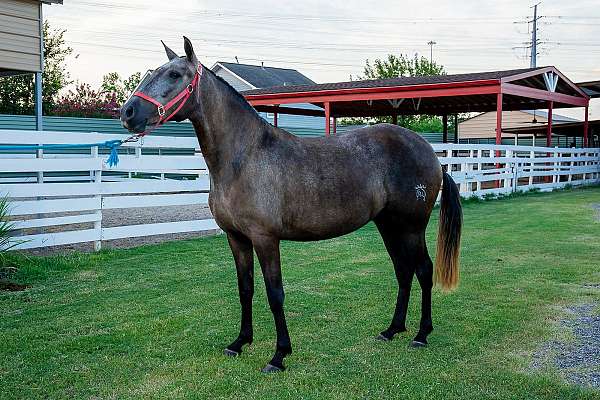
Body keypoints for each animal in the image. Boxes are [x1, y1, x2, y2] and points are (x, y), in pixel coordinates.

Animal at [119, 36, 462, 372]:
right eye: (153, 71)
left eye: (174, 74)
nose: (128, 113)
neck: (244, 157)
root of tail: (431, 153)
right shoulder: (236, 238)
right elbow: (245, 290)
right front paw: (239, 343)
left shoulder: (265, 238)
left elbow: (275, 294)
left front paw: (279, 355)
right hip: (388, 225)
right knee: (403, 271)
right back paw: (392, 330)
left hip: (412, 227)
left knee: (423, 271)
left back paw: (421, 335)